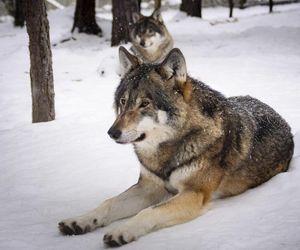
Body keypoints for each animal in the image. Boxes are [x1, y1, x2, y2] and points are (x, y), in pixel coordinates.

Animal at [58, 46, 292, 246]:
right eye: (123, 101)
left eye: (144, 104)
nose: (112, 132)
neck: (167, 149)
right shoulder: (148, 187)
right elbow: (109, 202)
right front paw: (80, 220)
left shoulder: (194, 194)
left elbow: (149, 211)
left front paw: (122, 231)